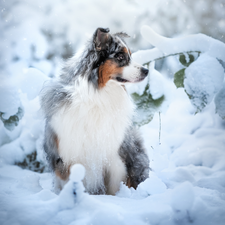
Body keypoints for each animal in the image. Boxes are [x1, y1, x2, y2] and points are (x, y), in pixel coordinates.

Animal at [40, 27, 149, 194]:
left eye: (130, 54)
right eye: (120, 56)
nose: (146, 70)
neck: (97, 96)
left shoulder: (114, 156)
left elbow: (114, 188)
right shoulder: (68, 157)